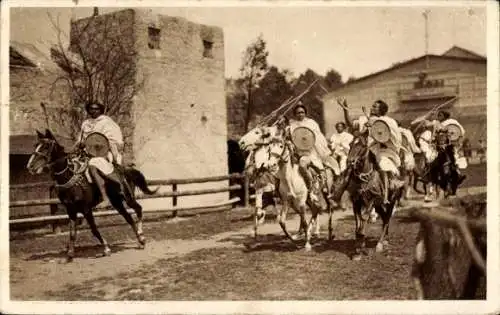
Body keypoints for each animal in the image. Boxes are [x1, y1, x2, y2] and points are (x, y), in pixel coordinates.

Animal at [25, 130, 158, 262]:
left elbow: (94, 229)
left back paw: (141, 236)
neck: (69, 177)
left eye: (46, 146)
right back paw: (140, 240)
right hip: (117, 202)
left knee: (138, 209)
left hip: (127, 197)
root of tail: (125, 170)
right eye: (35, 145)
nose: (30, 166)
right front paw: (70, 254)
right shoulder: (71, 210)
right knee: (129, 218)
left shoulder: (86, 209)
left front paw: (106, 248)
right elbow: (72, 233)